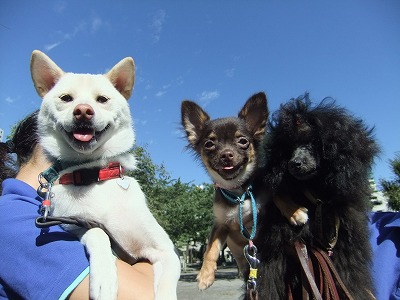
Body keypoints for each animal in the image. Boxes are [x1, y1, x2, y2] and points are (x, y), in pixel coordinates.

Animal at [30, 50, 180, 298]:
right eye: (66, 98)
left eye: (102, 99)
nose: (83, 111)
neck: (93, 173)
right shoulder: (74, 225)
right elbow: (98, 233)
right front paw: (104, 279)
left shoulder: (166, 250)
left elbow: (166, 288)